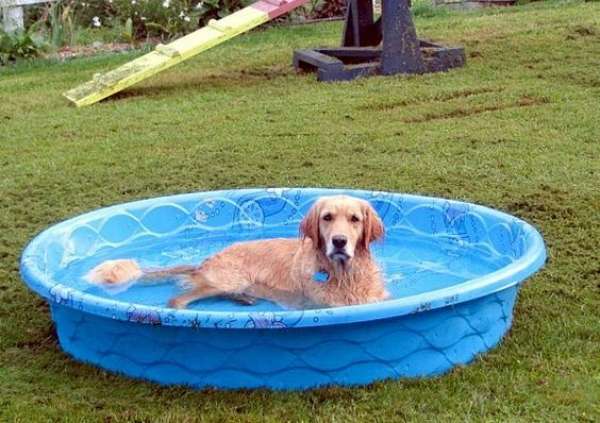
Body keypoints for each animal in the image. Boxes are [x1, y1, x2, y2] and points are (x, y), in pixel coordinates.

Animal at [88, 197, 390, 310]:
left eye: (354, 219)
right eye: (327, 217)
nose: (339, 242)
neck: (343, 274)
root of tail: (204, 262)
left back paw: (245, 299)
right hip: (229, 278)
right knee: (177, 299)